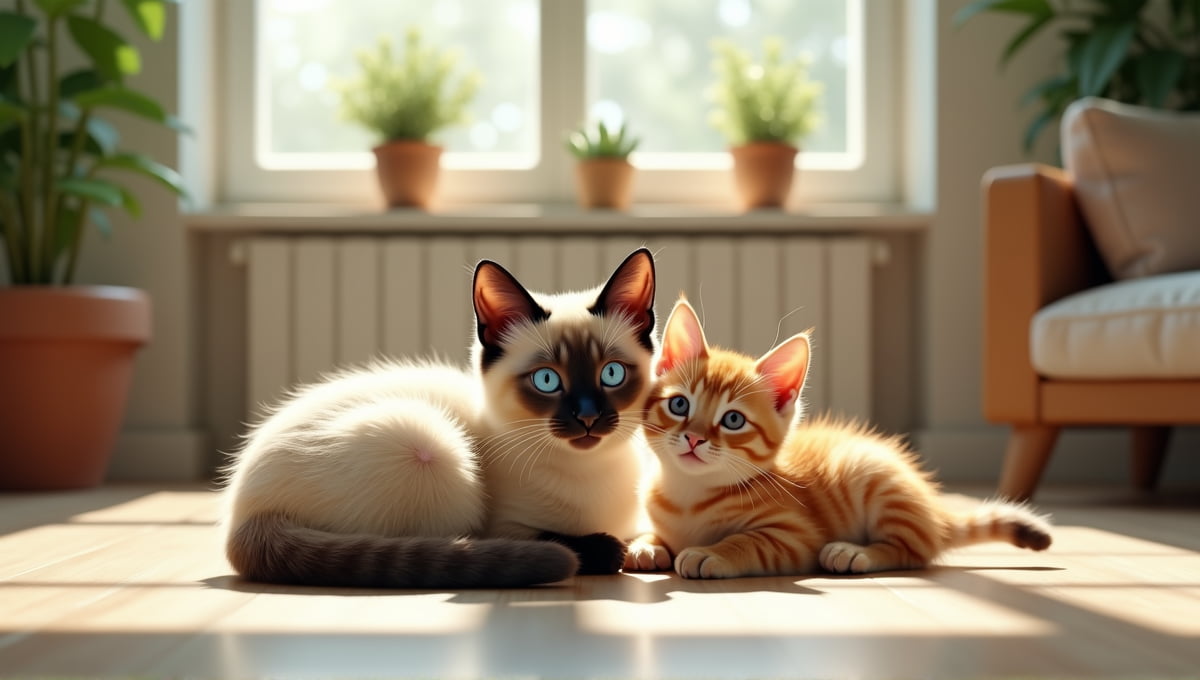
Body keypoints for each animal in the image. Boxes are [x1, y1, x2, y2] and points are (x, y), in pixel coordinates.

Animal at [628, 297, 1051, 580]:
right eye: (680, 404)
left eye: (733, 420)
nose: (694, 438)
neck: (688, 496)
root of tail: (932, 512)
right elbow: (653, 533)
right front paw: (645, 544)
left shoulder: (795, 536)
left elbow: (748, 542)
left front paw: (710, 553)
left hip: (876, 479)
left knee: (915, 550)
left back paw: (853, 553)